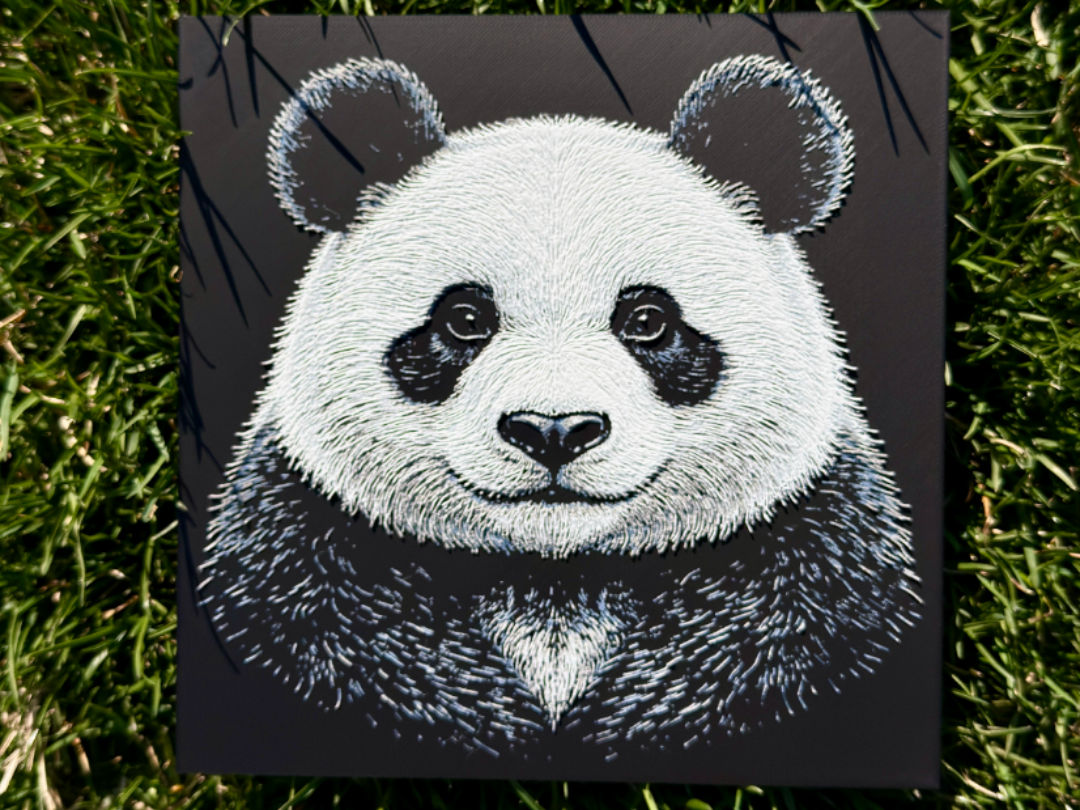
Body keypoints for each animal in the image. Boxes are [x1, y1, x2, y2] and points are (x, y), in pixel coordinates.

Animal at [199, 55, 922, 753]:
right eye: (464, 319)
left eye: (648, 320)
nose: (553, 429)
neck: (554, 582)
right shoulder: (298, 561)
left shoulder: (819, 570)